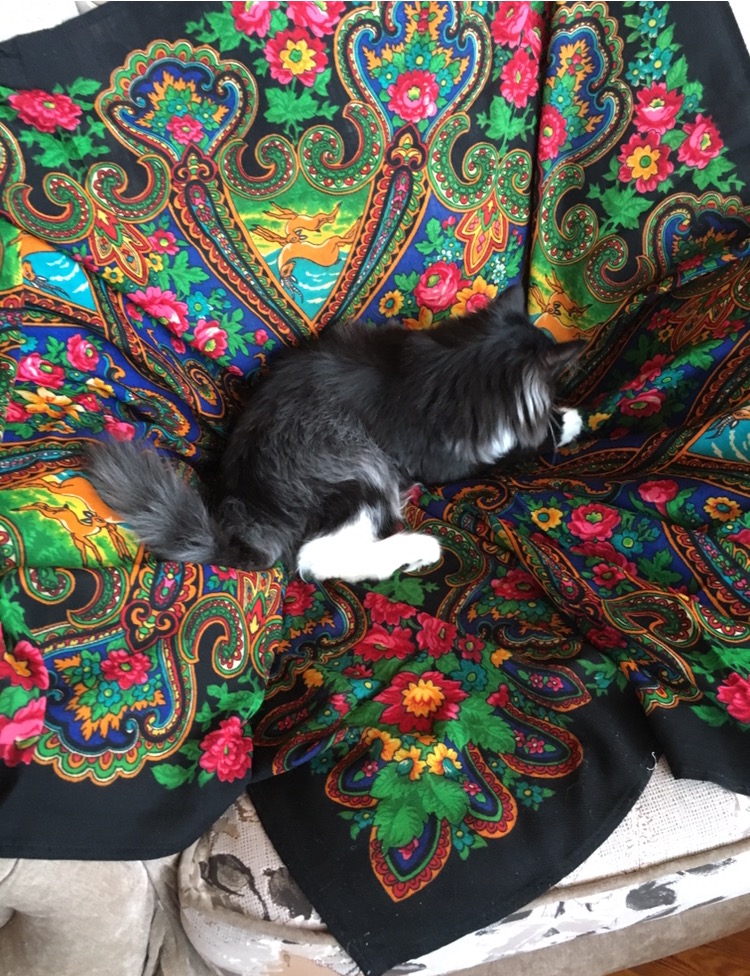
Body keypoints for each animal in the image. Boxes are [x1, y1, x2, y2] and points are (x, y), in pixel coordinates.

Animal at [87, 285, 584, 583]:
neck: (458, 365)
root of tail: (250, 509)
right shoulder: (455, 457)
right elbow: (519, 446)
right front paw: (571, 419)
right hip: (360, 470)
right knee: (319, 557)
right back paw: (419, 547)